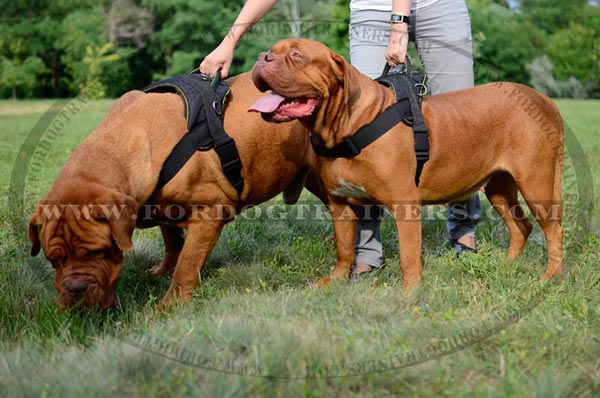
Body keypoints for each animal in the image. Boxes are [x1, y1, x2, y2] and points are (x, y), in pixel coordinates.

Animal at [29, 72, 324, 310]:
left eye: (99, 252)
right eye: (54, 260)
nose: (75, 289)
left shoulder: (210, 212)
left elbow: (187, 263)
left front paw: (172, 305)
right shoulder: (160, 206)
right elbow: (172, 242)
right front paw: (164, 270)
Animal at [248, 39, 564, 290]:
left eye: (297, 55)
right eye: (273, 51)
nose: (263, 56)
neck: (346, 126)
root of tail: (544, 98)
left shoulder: (405, 203)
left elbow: (408, 255)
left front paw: (411, 292)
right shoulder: (340, 204)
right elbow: (344, 249)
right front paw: (336, 280)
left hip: (536, 184)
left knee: (554, 230)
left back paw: (549, 278)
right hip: (499, 187)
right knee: (521, 225)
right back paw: (507, 265)